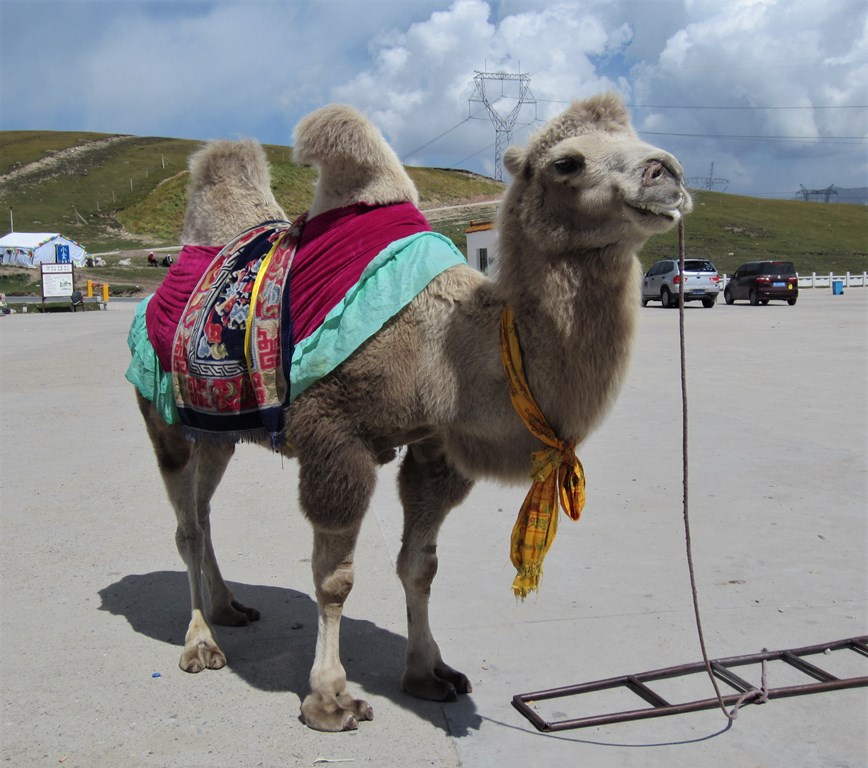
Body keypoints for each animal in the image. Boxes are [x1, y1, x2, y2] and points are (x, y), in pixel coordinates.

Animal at [134, 96, 692, 732]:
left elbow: (419, 564)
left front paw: (429, 673)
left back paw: (229, 608)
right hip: (163, 417)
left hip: (217, 429)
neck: (446, 346)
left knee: (203, 512)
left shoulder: (436, 446)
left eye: (639, 138)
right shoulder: (336, 436)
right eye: (566, 163)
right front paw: (330, 698)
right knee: (186, 524)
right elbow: (335, 578)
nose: (666, 172)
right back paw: (200, 642)